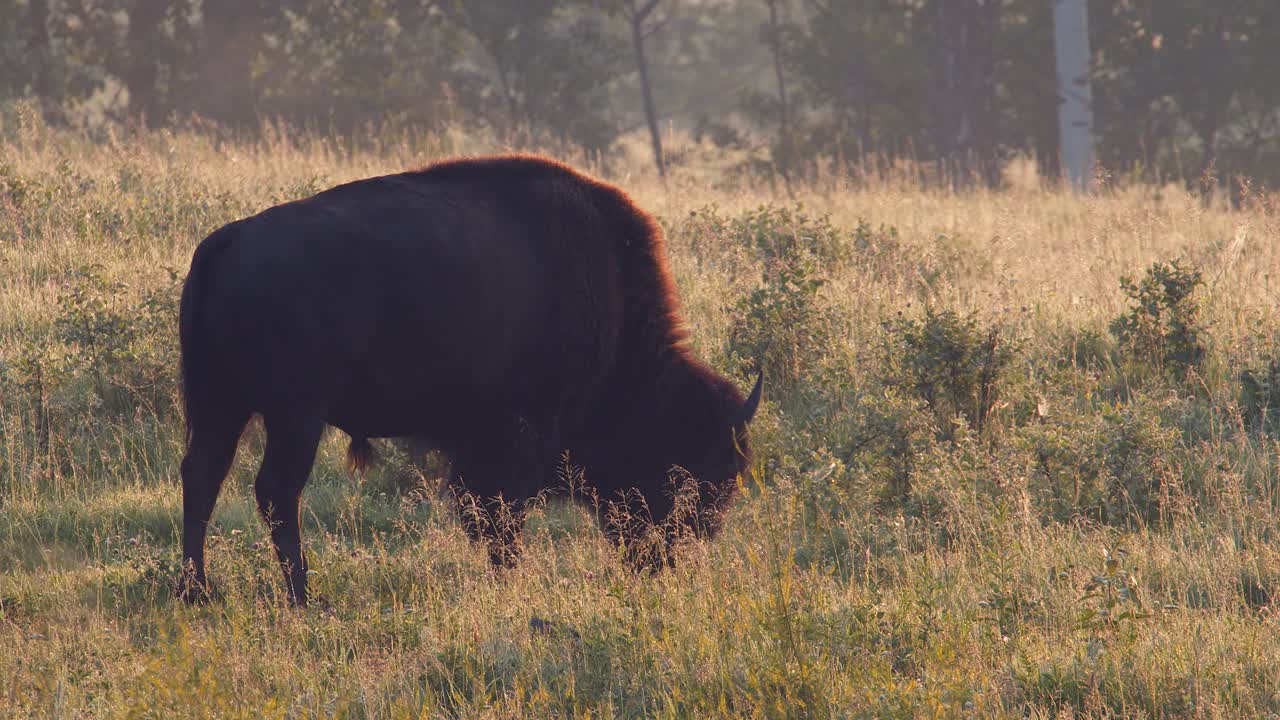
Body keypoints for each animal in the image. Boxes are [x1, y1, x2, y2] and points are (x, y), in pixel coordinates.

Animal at [176, 154, 761, 606]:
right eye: (694, 472)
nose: (668, 559)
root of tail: (226, 242)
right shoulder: (512, 440)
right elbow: (499, 516)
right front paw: (509, 581)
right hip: (295, 413)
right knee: (277, 490)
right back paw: (304, 596)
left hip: (221, 404)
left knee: (203, 476)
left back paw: (197, 591)